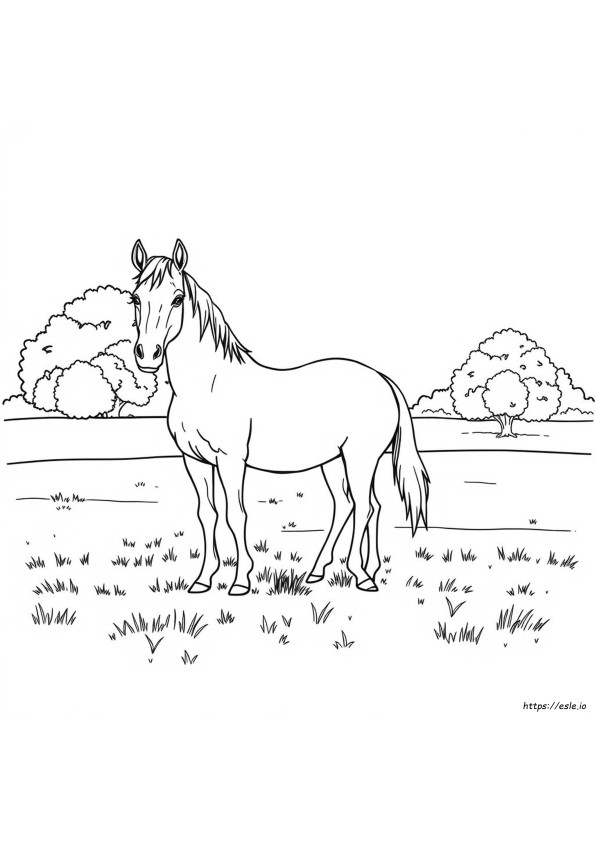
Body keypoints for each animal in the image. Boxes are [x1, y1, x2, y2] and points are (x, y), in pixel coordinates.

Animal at [130, 239, 429, 595]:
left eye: (177, 299)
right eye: (135, 298)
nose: (147, 356)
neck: (207, 385)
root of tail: (382, 379)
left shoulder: (231, 460)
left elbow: (235, 515)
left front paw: (240, 581)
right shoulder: (195, 460)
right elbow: (208, 514)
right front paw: (203, 580)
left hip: (361, 458)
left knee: (365, 507)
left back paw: (362, 575)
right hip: (333, 461)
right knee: (351, 506)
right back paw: (327, 571)